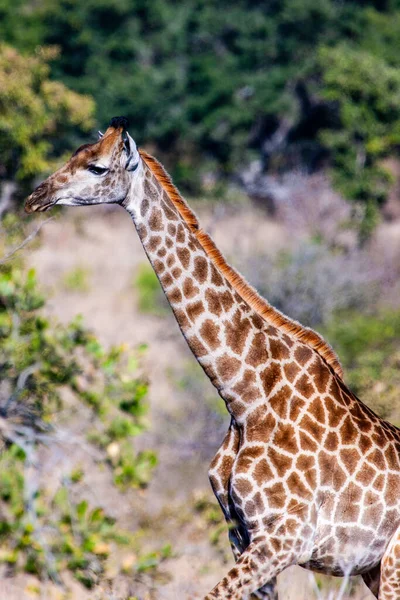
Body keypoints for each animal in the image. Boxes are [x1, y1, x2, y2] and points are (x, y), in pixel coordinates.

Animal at [25, 116, 400, 596]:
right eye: (74, 154)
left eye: (96, 167)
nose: (36, 196)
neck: (245, 398)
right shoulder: (242, 536)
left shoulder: (287, 537)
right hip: (373, 568)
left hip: (391, 563)